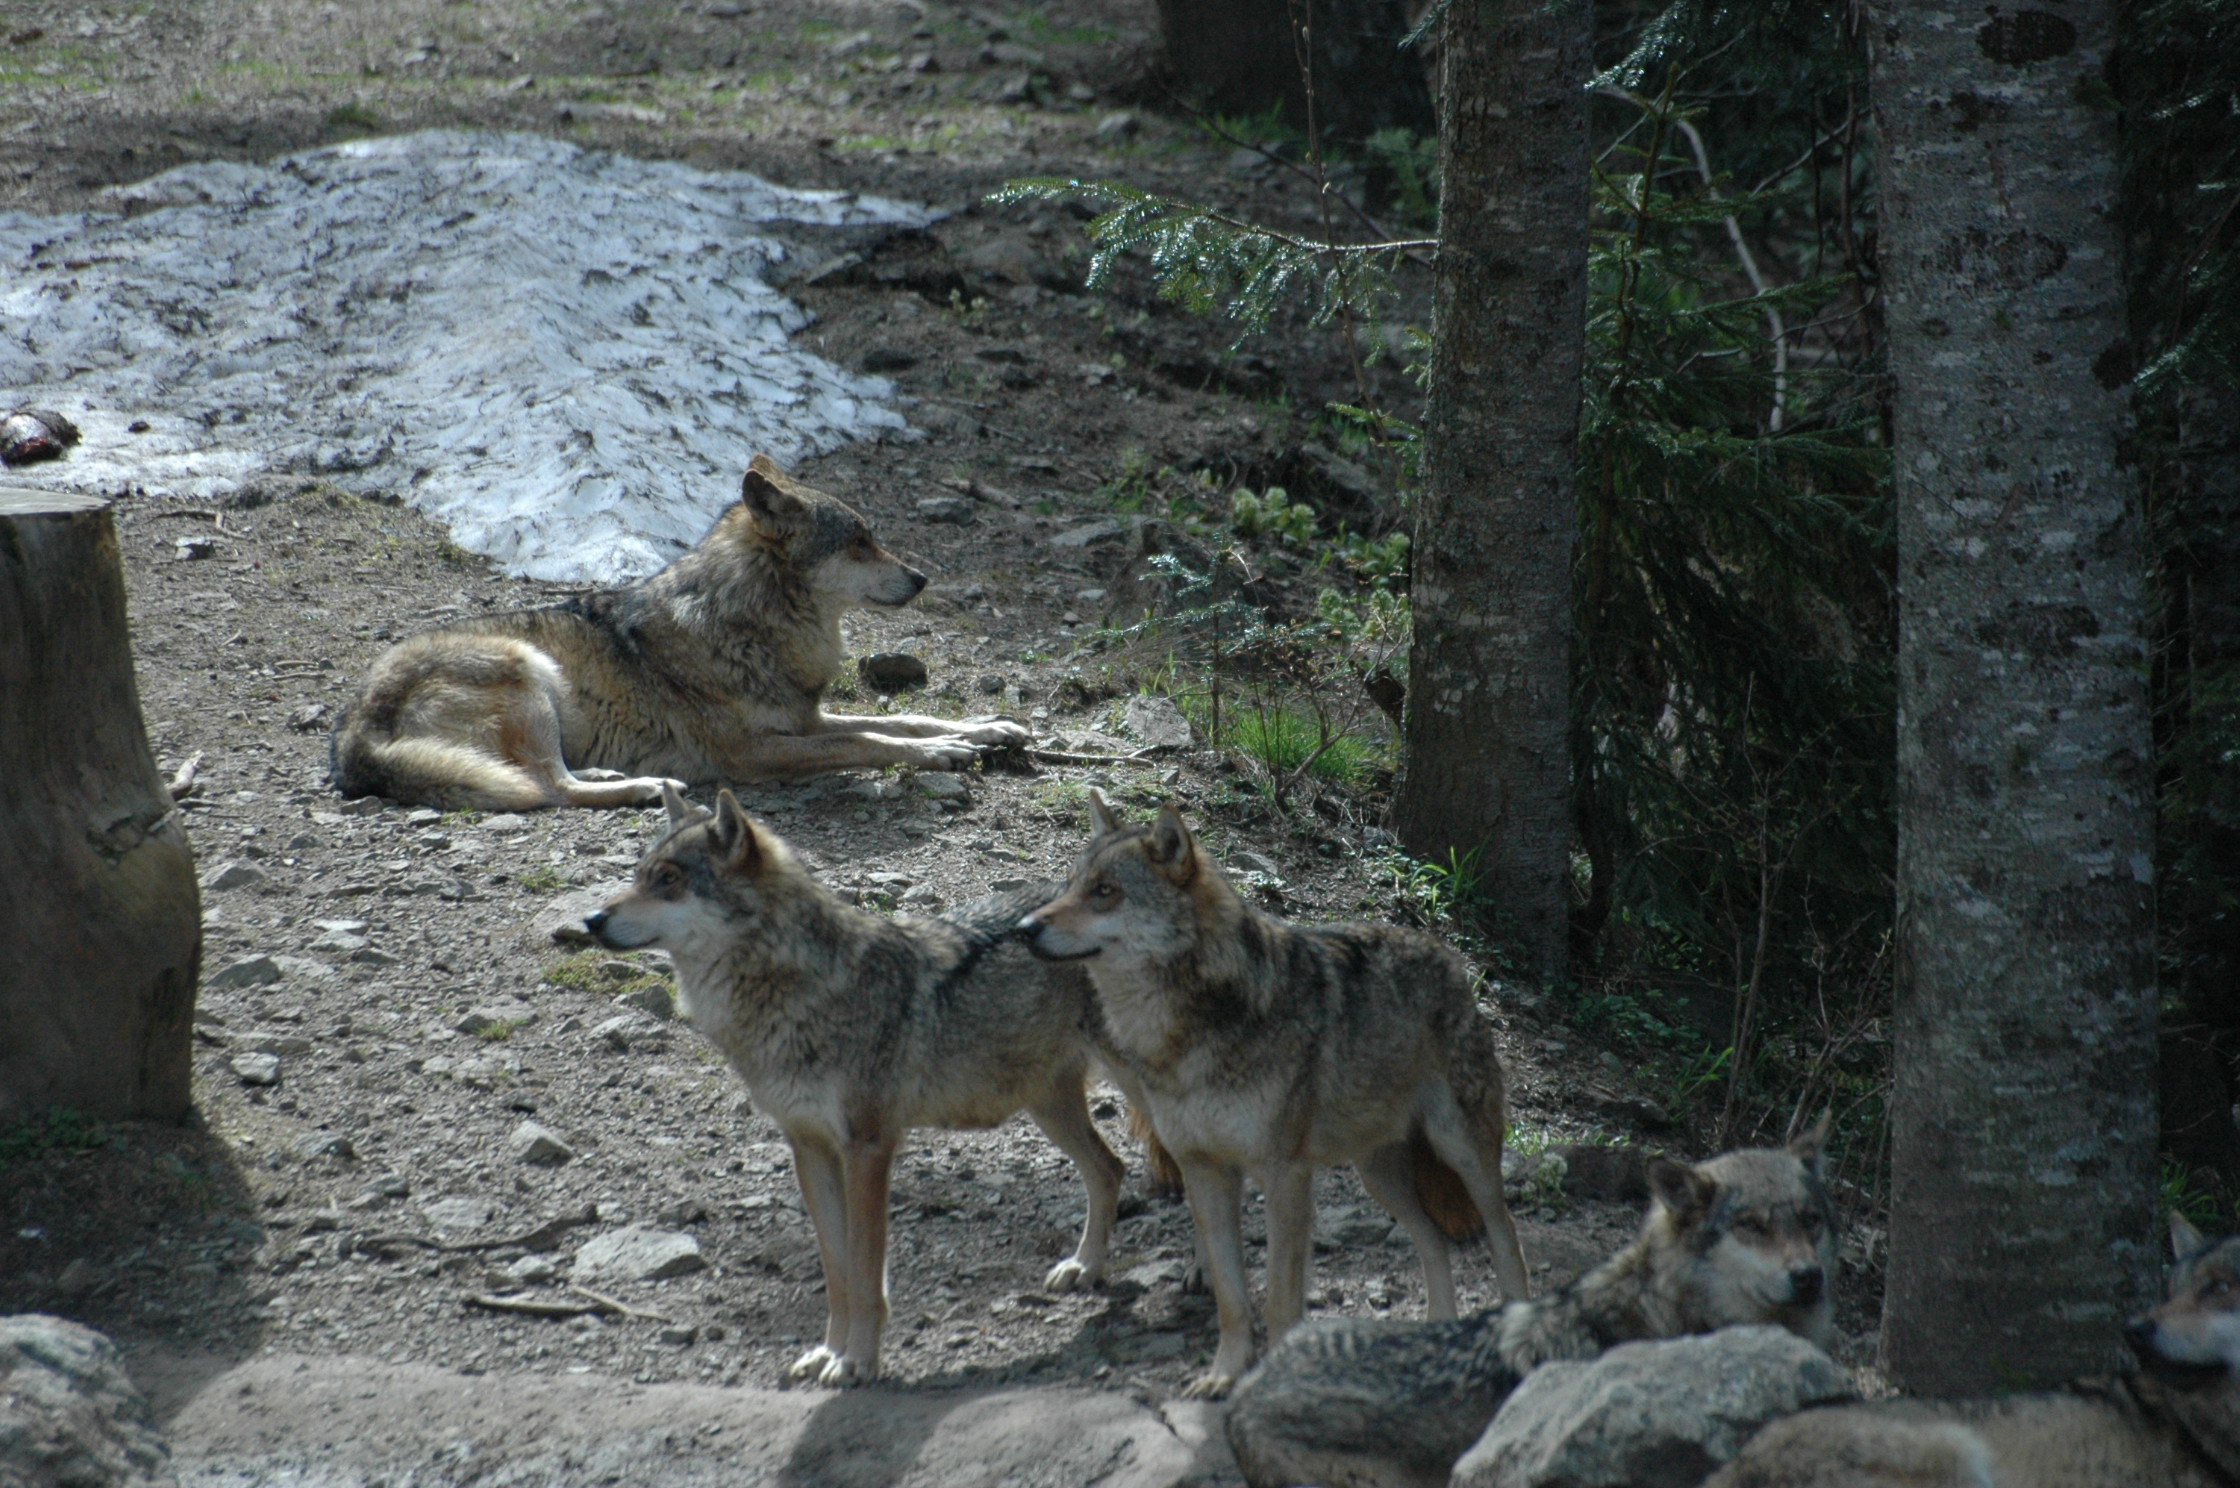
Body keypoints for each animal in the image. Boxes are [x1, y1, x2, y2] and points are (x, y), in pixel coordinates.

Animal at [327, 450, 1025, 815]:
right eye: (859, 542)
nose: (923, 578)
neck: (750, 623)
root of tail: (355, 727)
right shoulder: (753, 752)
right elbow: (872, 740)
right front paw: (941, 754)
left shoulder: (804, 719)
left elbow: (907, 718)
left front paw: (986, 730)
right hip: (526, 667)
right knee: (548, 788)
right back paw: (646, 787)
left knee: (554, 777)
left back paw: (608, 771)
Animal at [591, 784, 1128, 1389]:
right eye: (639, 875)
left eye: (669, 879)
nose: (590, 919)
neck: (792, 995)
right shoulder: (809, 1149)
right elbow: (838, 1273)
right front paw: (829, 1351)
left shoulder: (868, 1149)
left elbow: (867, 1273)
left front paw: (857, 1363)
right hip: (1048, 1108)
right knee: (1110, 1169)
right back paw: (1086, 1268)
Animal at [1021, 788, 1532, 1398]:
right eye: (1072, 883)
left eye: (1105, 891)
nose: (1023, 928)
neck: (1187, 1033)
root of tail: (1450, 957)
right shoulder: (1204, 1171)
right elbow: (1231, 1297)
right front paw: (1222, 1375)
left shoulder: (1284, 1175)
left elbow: (1281, 1301)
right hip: (1378, 1176)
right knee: (1433, 1241)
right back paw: (1432, 1339)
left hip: (1463, 1154)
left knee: (1507, 1238)